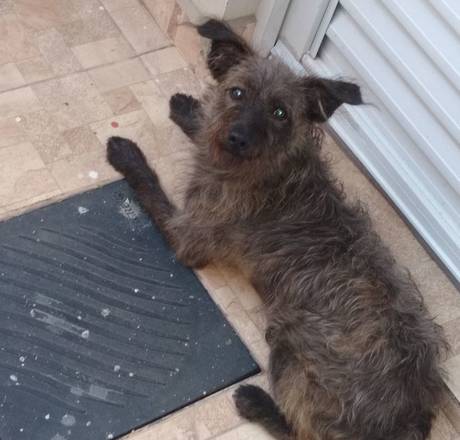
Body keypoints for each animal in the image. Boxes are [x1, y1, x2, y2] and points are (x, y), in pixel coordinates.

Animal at [106, 19, 448, 440]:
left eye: (281, 112)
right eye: (237, 92)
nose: (237, 138)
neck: (269, 166)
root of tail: (411, 419)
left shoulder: (188, 236)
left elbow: (151, 189)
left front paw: (127, 155)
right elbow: (204, 129)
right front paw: (191, 110)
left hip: (289, 340)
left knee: (305, 433)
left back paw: (256, 402)